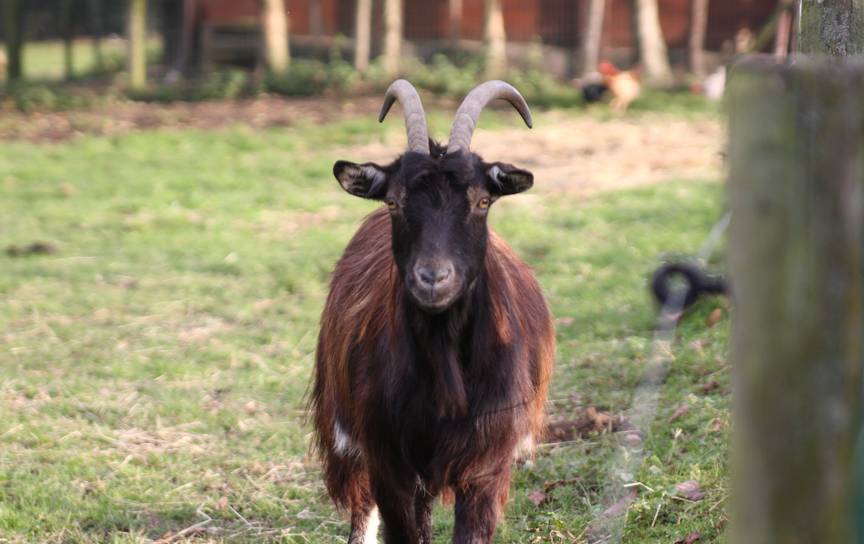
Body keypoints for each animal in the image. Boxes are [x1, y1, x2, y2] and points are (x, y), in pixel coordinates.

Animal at [310, 81, 552, 544]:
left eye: (482, 201)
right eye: (393, 201)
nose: (433, 278)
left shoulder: (485, 467)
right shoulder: (389, 460)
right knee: (362, 506)